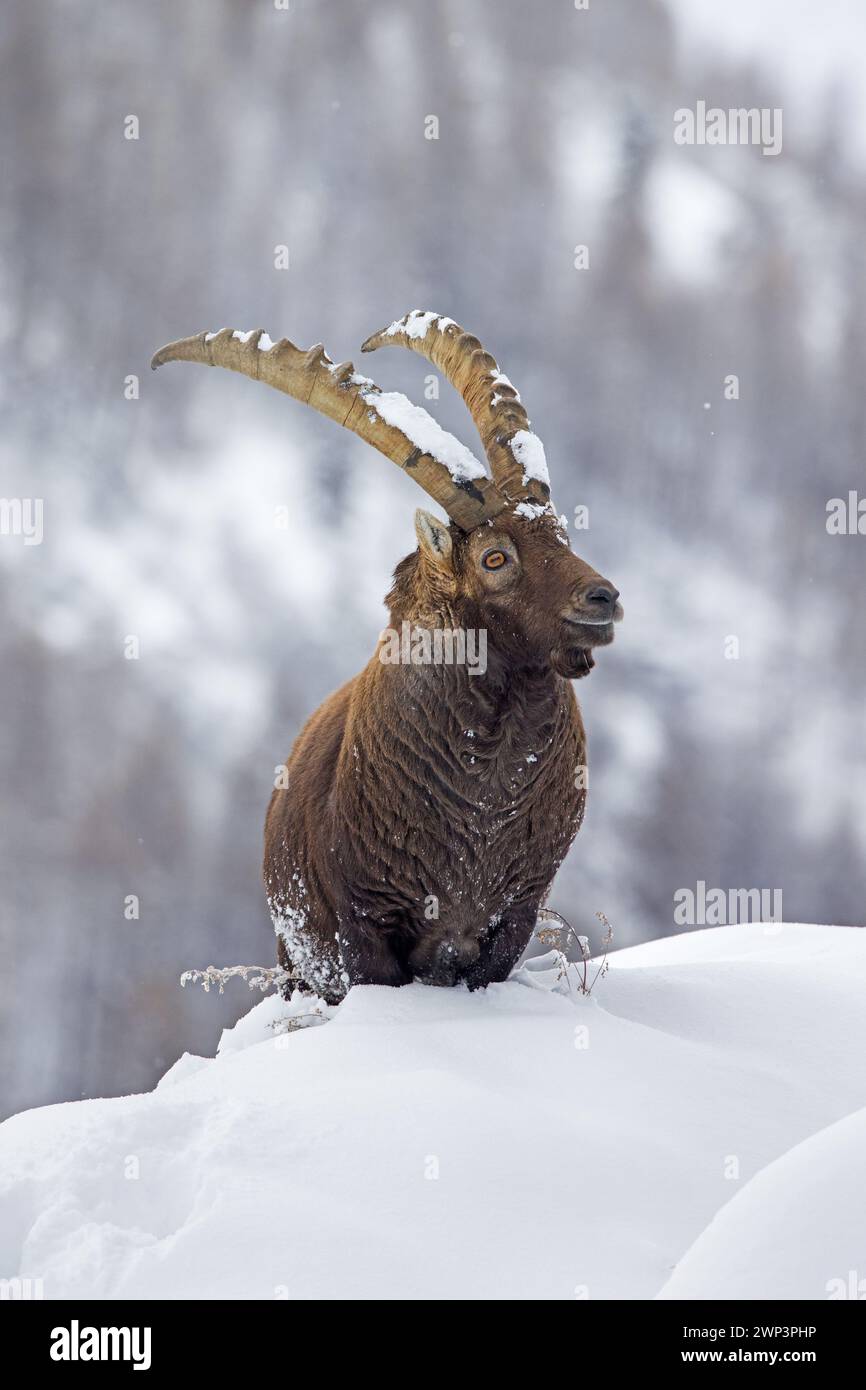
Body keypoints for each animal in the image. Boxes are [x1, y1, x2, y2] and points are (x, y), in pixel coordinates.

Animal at [152, 310, 622, 1000]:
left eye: (561, 534)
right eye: (495, 557)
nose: (604, 598)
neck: (485, 803)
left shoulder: (512, 919)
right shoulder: (363, 929)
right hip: (296, 959)